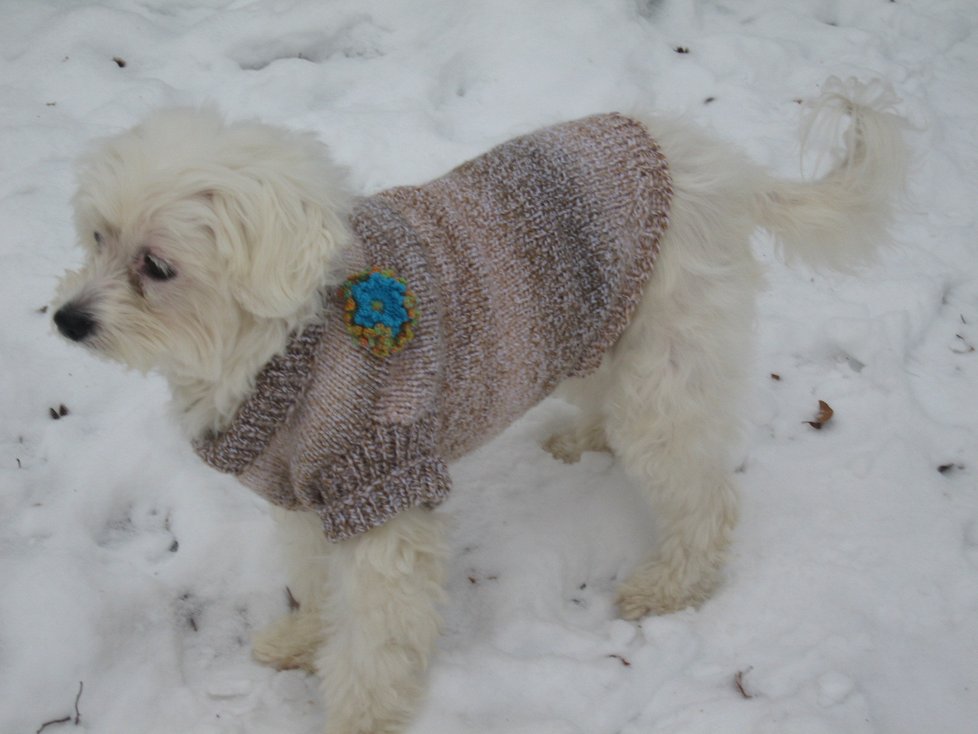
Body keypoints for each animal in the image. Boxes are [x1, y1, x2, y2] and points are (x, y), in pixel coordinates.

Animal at [53, 80, 908, 734]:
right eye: (95, 238)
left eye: (156, 266)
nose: (66, 320)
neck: (286, 339)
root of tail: (711, 161)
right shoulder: (307, 491)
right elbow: (314, 581)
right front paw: (302, 638)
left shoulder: (381, 489)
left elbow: (376, 639)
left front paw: (357, 715)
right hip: (595, 333)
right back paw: (583, 441)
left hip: (663, 377)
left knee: (706, 497)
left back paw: (671, 584)